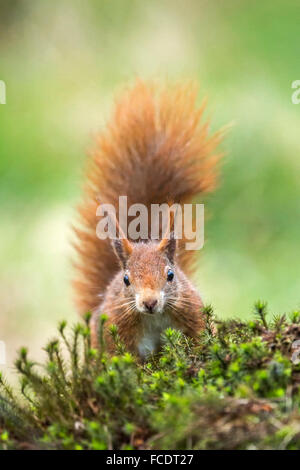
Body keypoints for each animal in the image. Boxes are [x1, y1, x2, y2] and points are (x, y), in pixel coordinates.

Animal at [72, 81, 223, 360]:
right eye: (126, 279)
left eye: (171, 274)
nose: (149, 303)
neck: (154, 318)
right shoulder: (118, 330)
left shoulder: (192, 312)